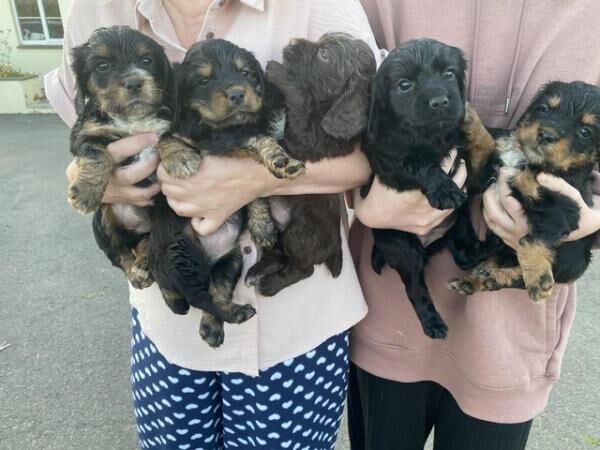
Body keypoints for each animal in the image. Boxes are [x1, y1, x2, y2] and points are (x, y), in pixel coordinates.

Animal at [69, 25, 176, 288]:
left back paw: (143, 264)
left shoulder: (167, 124)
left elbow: (169, 140)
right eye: (102, 66)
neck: (132, 119)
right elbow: (97, 156)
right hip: (103, 220)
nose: (135, 82)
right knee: (118, 254)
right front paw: (85, 194)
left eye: (147, 60)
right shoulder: (85, 133)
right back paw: (136, 272)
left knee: (147, 243)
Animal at [154, 39, 304, 348]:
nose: (236, 94)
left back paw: (216, 324)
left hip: (230, 261)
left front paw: (263, 226)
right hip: (179, 254)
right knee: (195, 295)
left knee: (215, 293)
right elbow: (166, 139)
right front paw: (179, 158)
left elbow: (253, 182)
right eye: (203, 80)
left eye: (245, 73)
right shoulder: (194, 132)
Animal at [244, 33, 376, 298]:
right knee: (278, 255)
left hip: (299, 235)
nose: (293, 42)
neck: (325, 108)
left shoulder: (304, 143)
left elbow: (300, 100)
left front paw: (278, 71)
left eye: (324, 55)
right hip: (276, 232)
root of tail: (336, 245)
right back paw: (257, 272)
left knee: (304, 270)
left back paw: (269, 285)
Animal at [360, 38, 468, 338]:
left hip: (458, 226)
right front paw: (445, 190)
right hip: (403, 248)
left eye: (449, 73)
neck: (430, 136)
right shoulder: (391, 163)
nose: (440, 102)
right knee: (415, 289)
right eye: (404, 85)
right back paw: (433, 323)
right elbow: (422, 165)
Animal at [448, 81, 600, 302]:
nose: (545, 135)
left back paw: (497, 277)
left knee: (524, 276)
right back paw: (473, 280)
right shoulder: (484, 175)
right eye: (544, 109)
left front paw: (537, 275)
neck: (528, 160)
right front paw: (470, 117)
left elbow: (530, 239)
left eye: (585, 132)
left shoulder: (562, 207)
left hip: (574, 261)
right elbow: (485, 145)